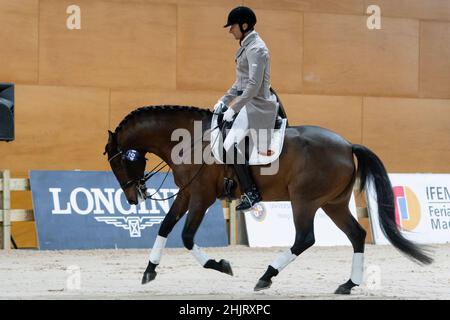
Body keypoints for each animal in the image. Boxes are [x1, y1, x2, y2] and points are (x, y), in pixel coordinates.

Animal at [104, 105, 432, 296]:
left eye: (119, 162)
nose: (133, 198)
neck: (192, 142)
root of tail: (347, 144)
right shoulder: (186, 193)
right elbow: (165, 227)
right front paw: (149, 270)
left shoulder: (201, 197)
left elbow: (185, 236)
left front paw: (221, 264)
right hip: (333, 204)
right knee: (357, 235)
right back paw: (348, 284)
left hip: (304, 201)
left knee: (305, 238)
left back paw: (266, 276)